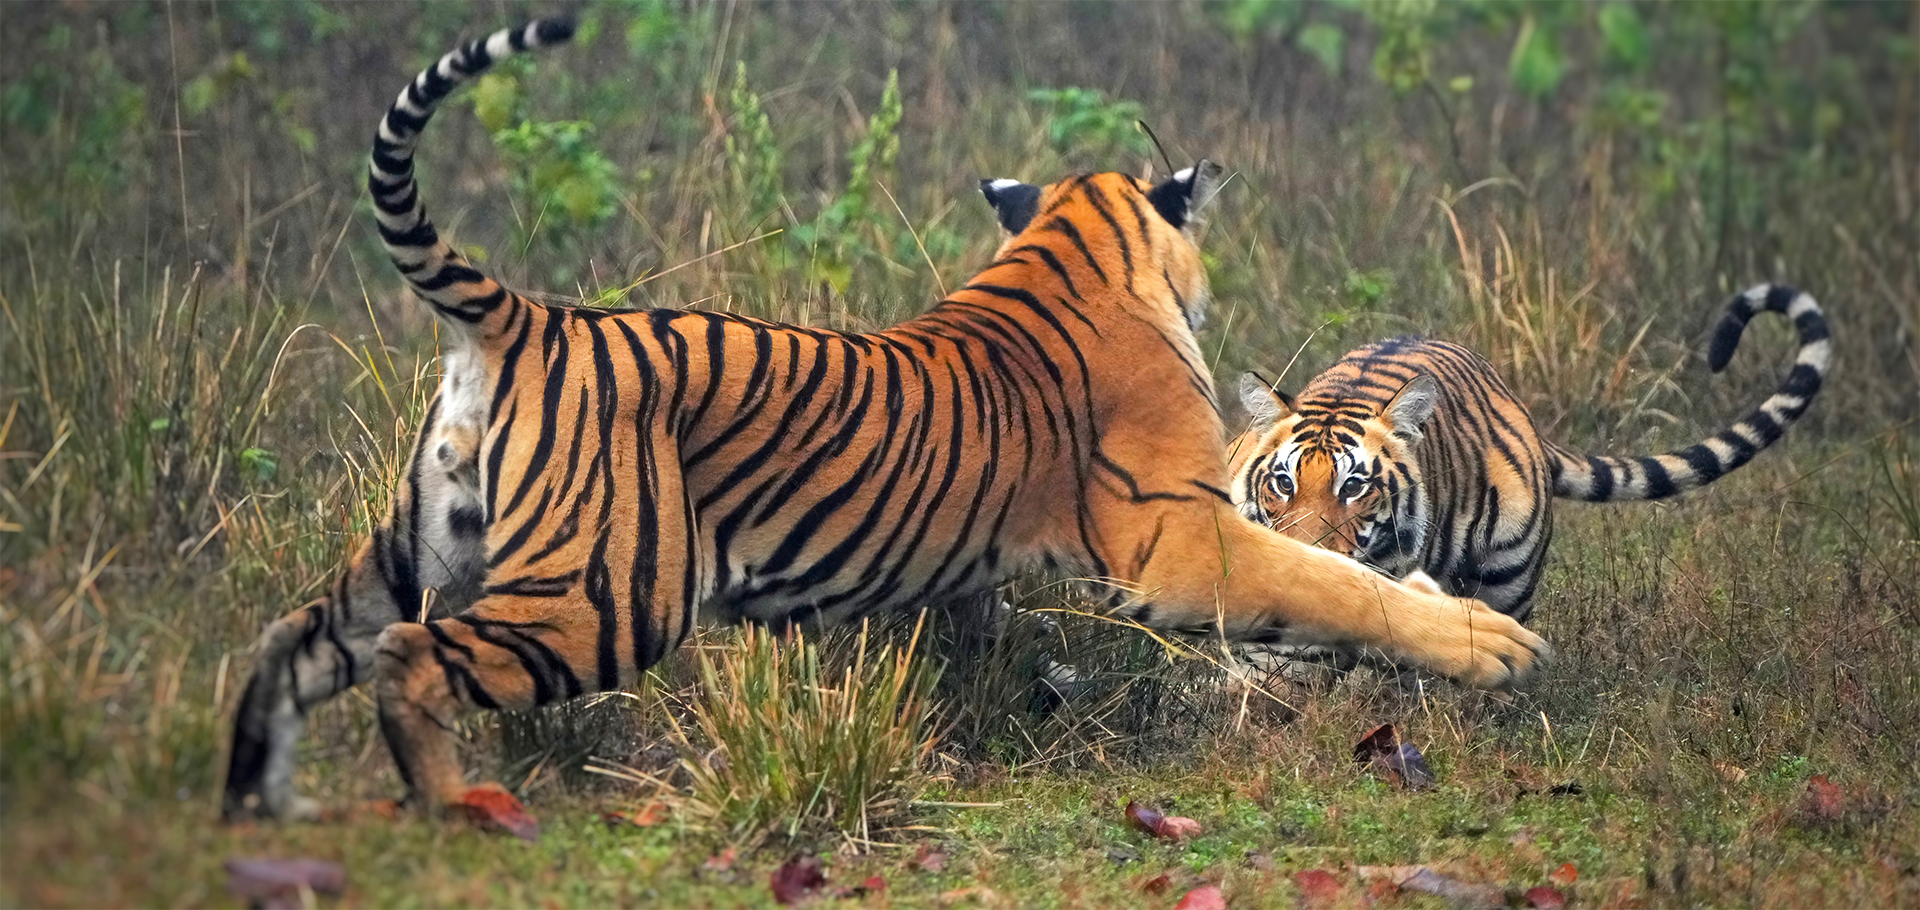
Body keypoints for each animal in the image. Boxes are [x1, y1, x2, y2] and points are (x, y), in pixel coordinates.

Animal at [222, 17, 1546, 832]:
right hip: (603, 592)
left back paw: (262, 801)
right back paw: (456, 808)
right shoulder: (1183, 538)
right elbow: (1333, 583)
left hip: (418, 538)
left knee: (292, 642)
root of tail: (529, 316)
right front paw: (1487, 644)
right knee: (409, 657)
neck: (1076, 244)